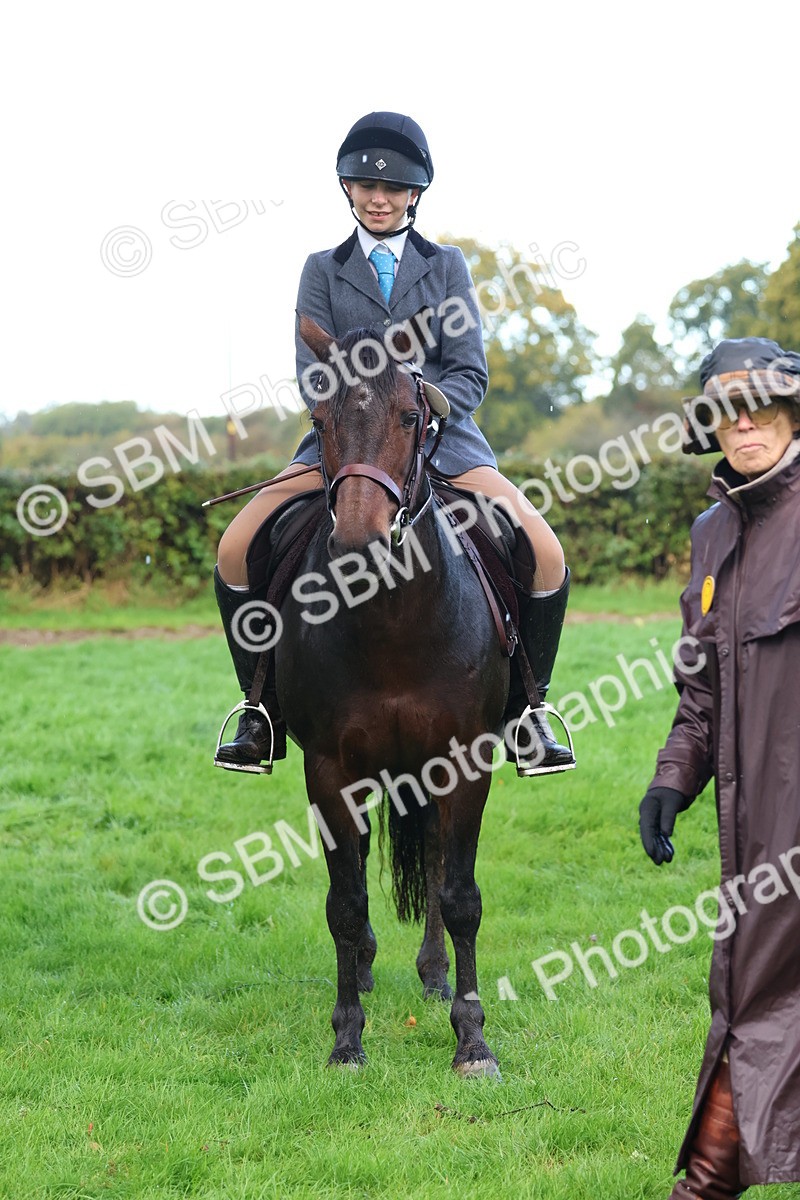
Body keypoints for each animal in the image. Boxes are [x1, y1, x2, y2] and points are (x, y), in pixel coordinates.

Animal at [270, 316, 511, 1075]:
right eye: (319, 419)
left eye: (412, 416)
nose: (357, 539)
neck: (391, 617)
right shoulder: (329, 770)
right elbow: (344, 903)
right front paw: (348, 1038)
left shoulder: (464, 758)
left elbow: (460, 895)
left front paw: (472, 1042)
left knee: (432, 857)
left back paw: (434, 976)